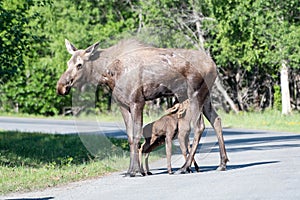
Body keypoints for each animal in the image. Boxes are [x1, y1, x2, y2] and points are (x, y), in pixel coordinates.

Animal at [56, 39, 229, 177]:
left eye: (79, 65)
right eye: (68, 63)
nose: (61, 86)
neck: (108, 74)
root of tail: (214, 65)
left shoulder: (137, 102)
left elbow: (137, 136)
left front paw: (136, 171)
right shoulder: (123, 105)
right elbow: (130, 137)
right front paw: (131, 170)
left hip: (195, 94)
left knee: (199, 126)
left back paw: (184, 167)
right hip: (205, 96)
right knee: (216, 120)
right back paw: (222, 163)